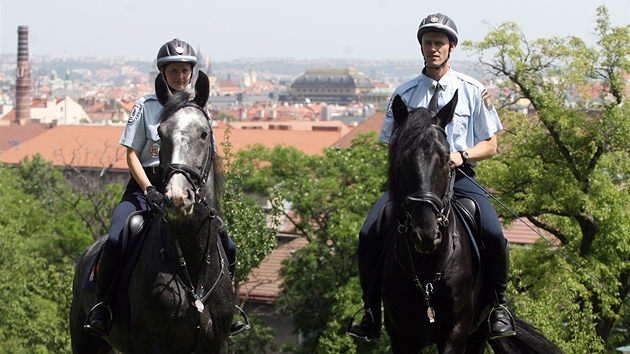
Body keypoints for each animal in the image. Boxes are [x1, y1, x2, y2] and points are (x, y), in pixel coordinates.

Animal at [71, 70, 235, 352]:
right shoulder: (153, 343)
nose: (177, 197)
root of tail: (87, 253)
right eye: (160, 133)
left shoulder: (217, 344)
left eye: (204, 134)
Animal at [378, 92, 564, 352]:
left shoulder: (456, 331)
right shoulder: (401, 335)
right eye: (401, 159)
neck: (427, 268)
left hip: (480, 330)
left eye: (446, 158)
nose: (426, 234)